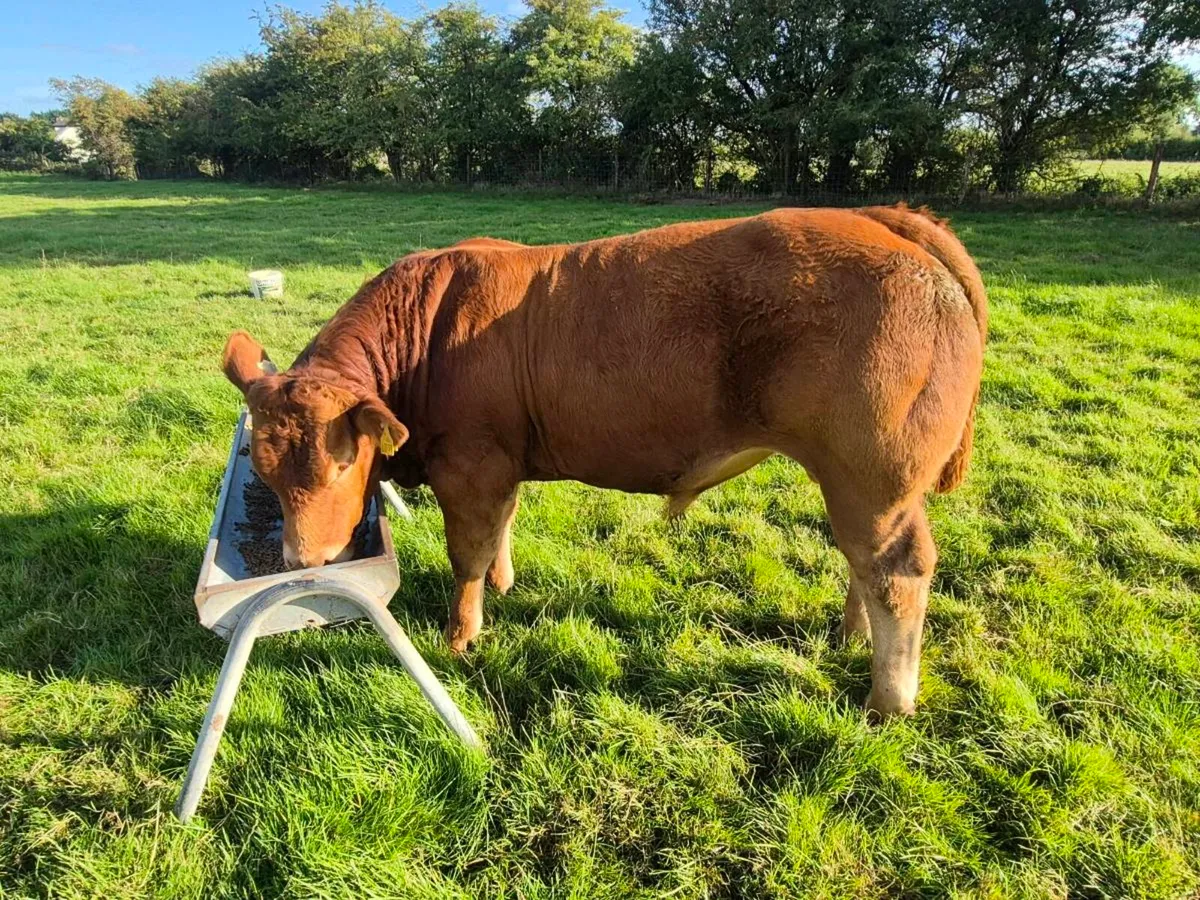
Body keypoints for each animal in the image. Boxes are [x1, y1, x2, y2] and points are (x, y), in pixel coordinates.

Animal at [221, 205, 986, 718]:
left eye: (340, 465)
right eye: (263, 469)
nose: (302, 561)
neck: (429, 332)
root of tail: (882, 219)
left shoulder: (469, 464)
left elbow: (466, 553)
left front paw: (461, 634)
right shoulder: (502, 464)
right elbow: (501, 530)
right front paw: (504, 584)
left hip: (872, 477)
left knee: (897, 571)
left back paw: (889, 697)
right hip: (857, 483)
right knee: (862, 562)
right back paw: (851, 635)